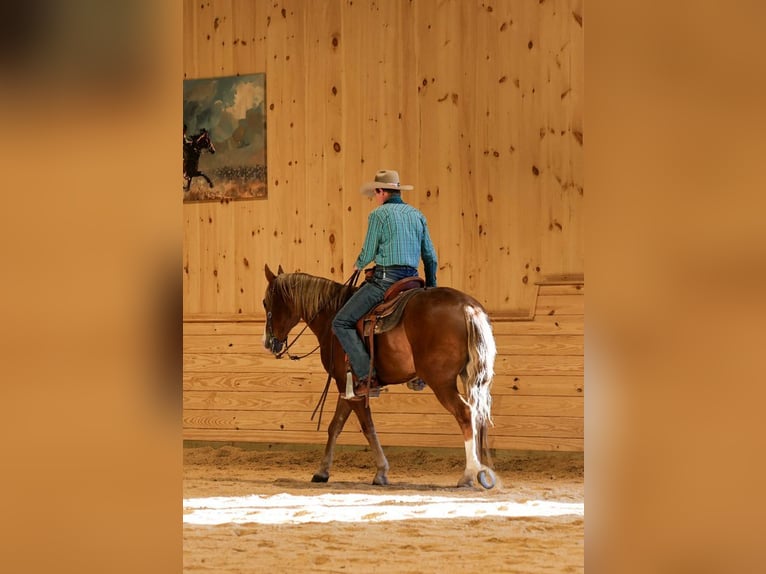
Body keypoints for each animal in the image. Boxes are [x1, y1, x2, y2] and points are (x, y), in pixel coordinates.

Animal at [262, 264, 498, 489]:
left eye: (265, 303)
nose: (268, 342)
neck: (330, 316)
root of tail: (468, 307)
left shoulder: (352, 387)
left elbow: (367, 427)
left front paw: (381, 472)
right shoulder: (347, 387)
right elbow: (335, 426)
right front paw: (322, 471)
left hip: (442, 382)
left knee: (465, 414)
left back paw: (468, 475)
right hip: (471, 378)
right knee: (478, 415)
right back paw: (482, 471)